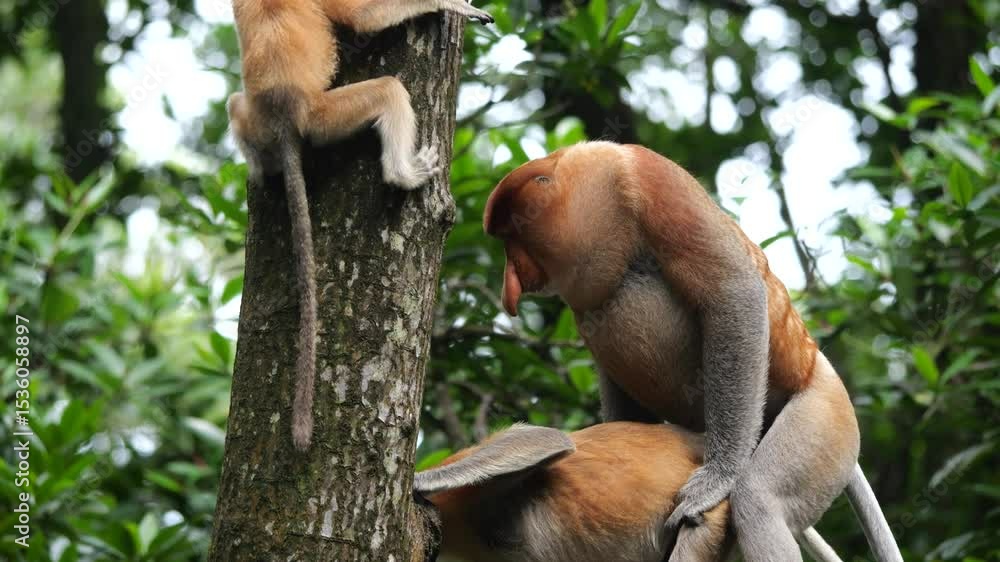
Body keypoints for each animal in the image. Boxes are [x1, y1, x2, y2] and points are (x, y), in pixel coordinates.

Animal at [227, 0, 493, 450]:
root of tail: (284, 116)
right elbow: (360, 17)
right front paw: (457, 7)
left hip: (258, 120)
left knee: (233, 103)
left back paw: (262, 170)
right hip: (325, 117)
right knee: (388, 89)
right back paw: (404, 175)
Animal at [481, 142, 902, 562]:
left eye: (512, 235)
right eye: (503, 240)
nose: (508, 286)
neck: (588, 187)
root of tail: (817, 363)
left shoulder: (652, 180)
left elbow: (733, 292)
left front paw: (717, 479)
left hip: (827, 420)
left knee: (760, 498)